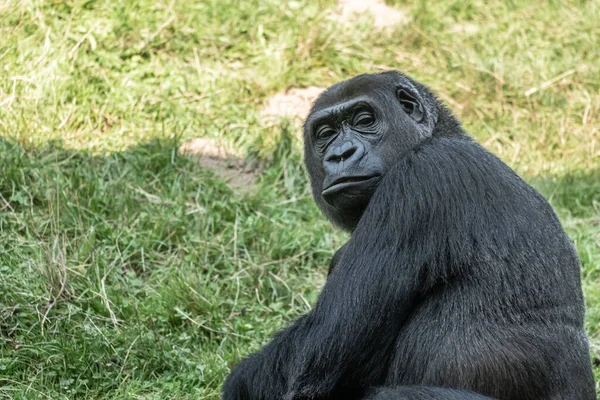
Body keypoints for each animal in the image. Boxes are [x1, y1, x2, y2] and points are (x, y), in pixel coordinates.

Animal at [221, 70, 596, 398]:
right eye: (325, 133)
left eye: (364, 120)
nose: (340, 154)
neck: (441, 135)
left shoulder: (421, 176)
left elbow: (317, 355)